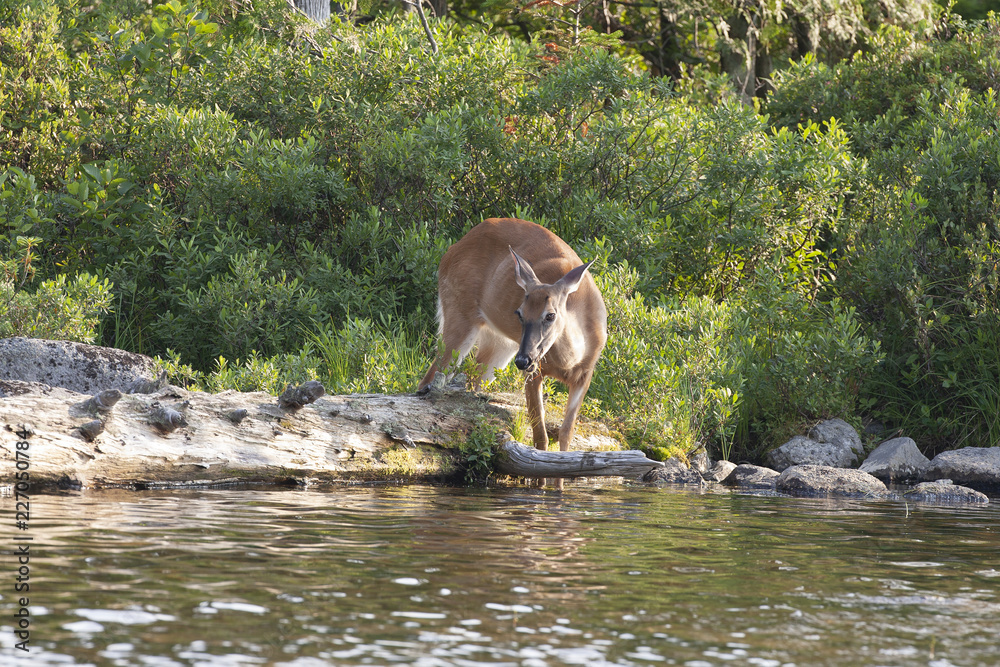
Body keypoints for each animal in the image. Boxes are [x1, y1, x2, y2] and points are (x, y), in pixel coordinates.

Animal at [417, 218, 608, 452]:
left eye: (550, 315)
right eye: (519, 313)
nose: (523, 360)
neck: (570, 361)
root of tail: (450, 251)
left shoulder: (586, 373)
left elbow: (566, 433)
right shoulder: (536, 371)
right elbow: (540, 435)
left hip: (501, 344)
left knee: (473, 382)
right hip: (458, 311)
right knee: (431, 376)